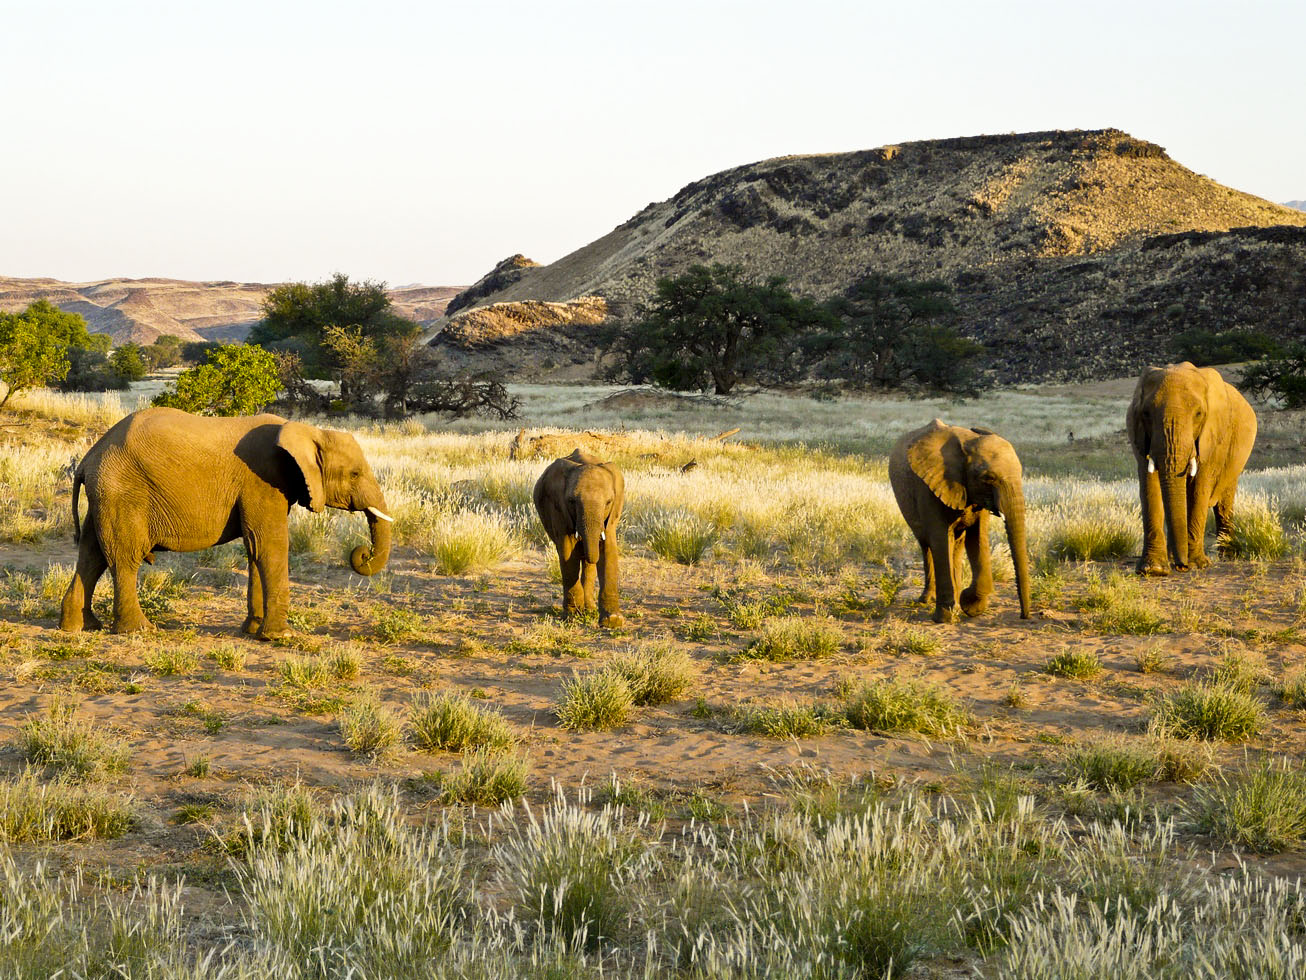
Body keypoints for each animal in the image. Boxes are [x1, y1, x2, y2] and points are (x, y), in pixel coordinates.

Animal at [64, 405, 391, 640]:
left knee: (91, 556)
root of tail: (87, 459)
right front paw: (280, 636)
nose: (361, 554)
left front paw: (253, 630)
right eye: (355, 474)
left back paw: (81, 626)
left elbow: (255, 549)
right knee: (124, 557)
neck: (308, 431)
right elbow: (269, 544)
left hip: (106, 495)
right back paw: (139, 629)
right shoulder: (263, 480)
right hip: (122, 491)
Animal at [535, 452, 626, 629]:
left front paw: (613, 621)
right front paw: (572, 617)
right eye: (571, 501)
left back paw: (589, 608)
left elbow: (608, 549)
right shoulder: (558, 508)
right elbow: (567, 550)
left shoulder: (611, 516)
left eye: (608, 502)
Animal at [888, 420, 1029, 621]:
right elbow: (939, 538)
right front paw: (945, 617)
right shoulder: (929, 487)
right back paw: (927, 600)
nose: (1024, 616)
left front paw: (969, 604)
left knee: (957, 544)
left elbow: (978, 537)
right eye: (988, 478)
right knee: (927, 544)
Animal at [1128, 363, 1258, 574]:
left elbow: (1199, 489)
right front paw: (1154, 570)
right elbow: (1148, 487)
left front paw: (1197, 565)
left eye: (1198, 414)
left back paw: (1229, 555)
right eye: (1146, 413)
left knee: (1224, 502)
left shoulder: (1212, 439)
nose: (1181, 566)